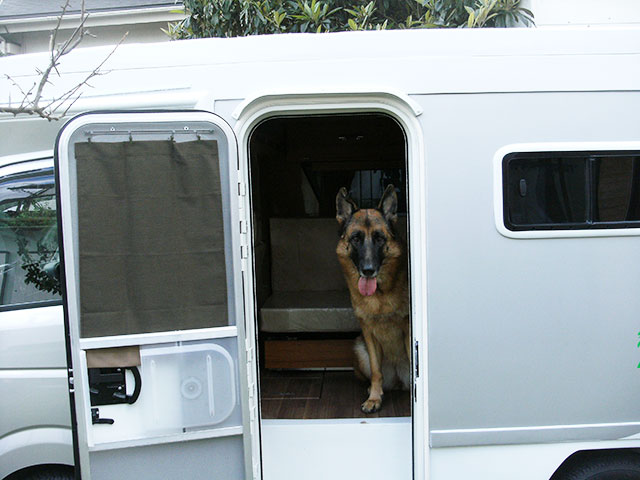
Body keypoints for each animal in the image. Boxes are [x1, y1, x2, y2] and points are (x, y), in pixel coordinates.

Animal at [336, 184, 410, 412]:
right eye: (356, 239)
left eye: (379, 238)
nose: (368, 270)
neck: (379, 296)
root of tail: (398, 379)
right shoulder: (368, 333)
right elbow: (377, 372)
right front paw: (374, 398)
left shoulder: (408, 330)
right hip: (360, 351)